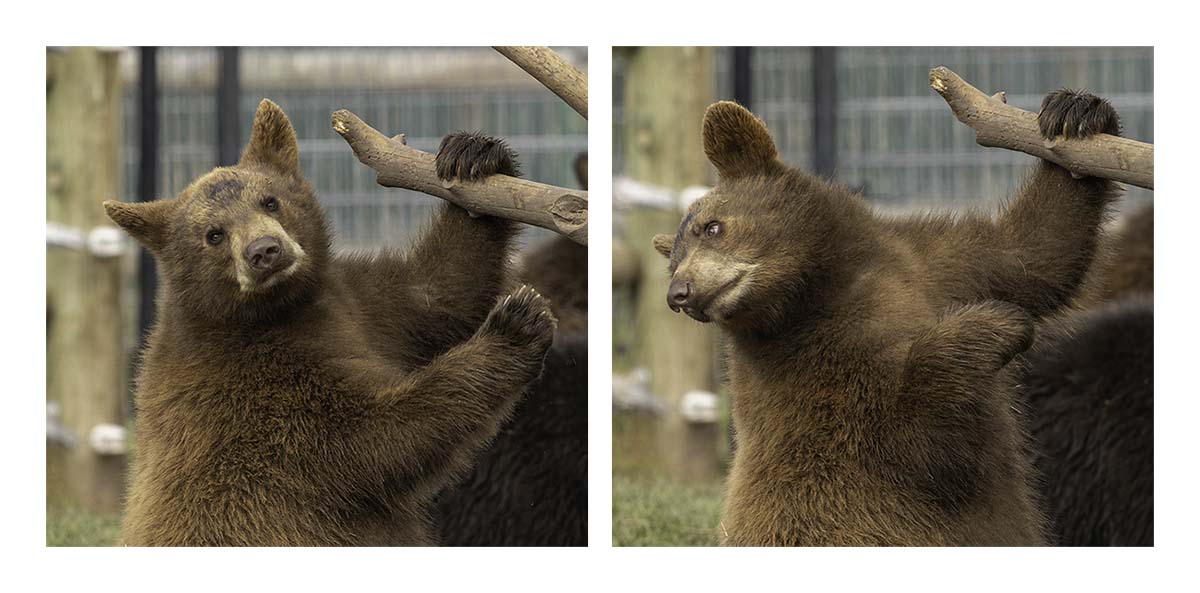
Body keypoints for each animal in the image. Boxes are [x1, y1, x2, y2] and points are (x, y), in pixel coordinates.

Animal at [104, 99, 556, 546]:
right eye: (214, 234)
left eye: (269, 200)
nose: (265, 250)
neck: (277, 311)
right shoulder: (256, 386)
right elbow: (369, 439)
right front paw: (517, 324)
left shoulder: (357, 303)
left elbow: (439, 290)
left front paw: (472, 155)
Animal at [651, 90, 1124, 546]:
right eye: (673, 263)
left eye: (712, 227)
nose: (680, 293)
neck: (819, 287)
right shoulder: (811, 374)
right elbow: (910, 432)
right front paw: (997, 324)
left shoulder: (939, 265)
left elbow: (1036, 251)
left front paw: (1075, 113)